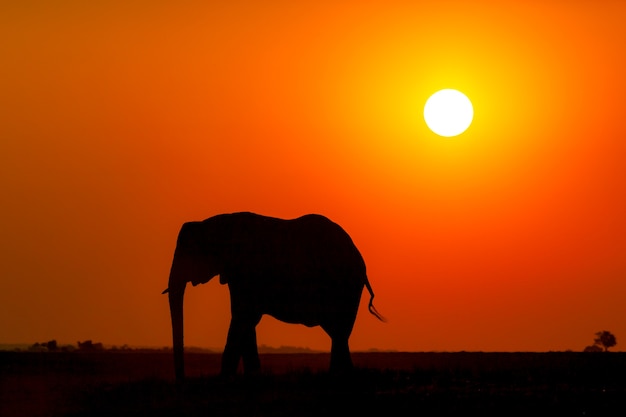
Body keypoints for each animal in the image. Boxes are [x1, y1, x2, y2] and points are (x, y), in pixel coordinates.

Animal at [161, 211, 382, 380]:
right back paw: (344, 375)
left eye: (188, 253)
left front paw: (224, 379)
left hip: (344, 285)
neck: (215, 223)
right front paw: (252, 377)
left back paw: (338, 376)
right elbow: (247, 320)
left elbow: (242, 316)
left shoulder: (246, 270)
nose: (181, 380)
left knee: (338, 330)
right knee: (339, 333)